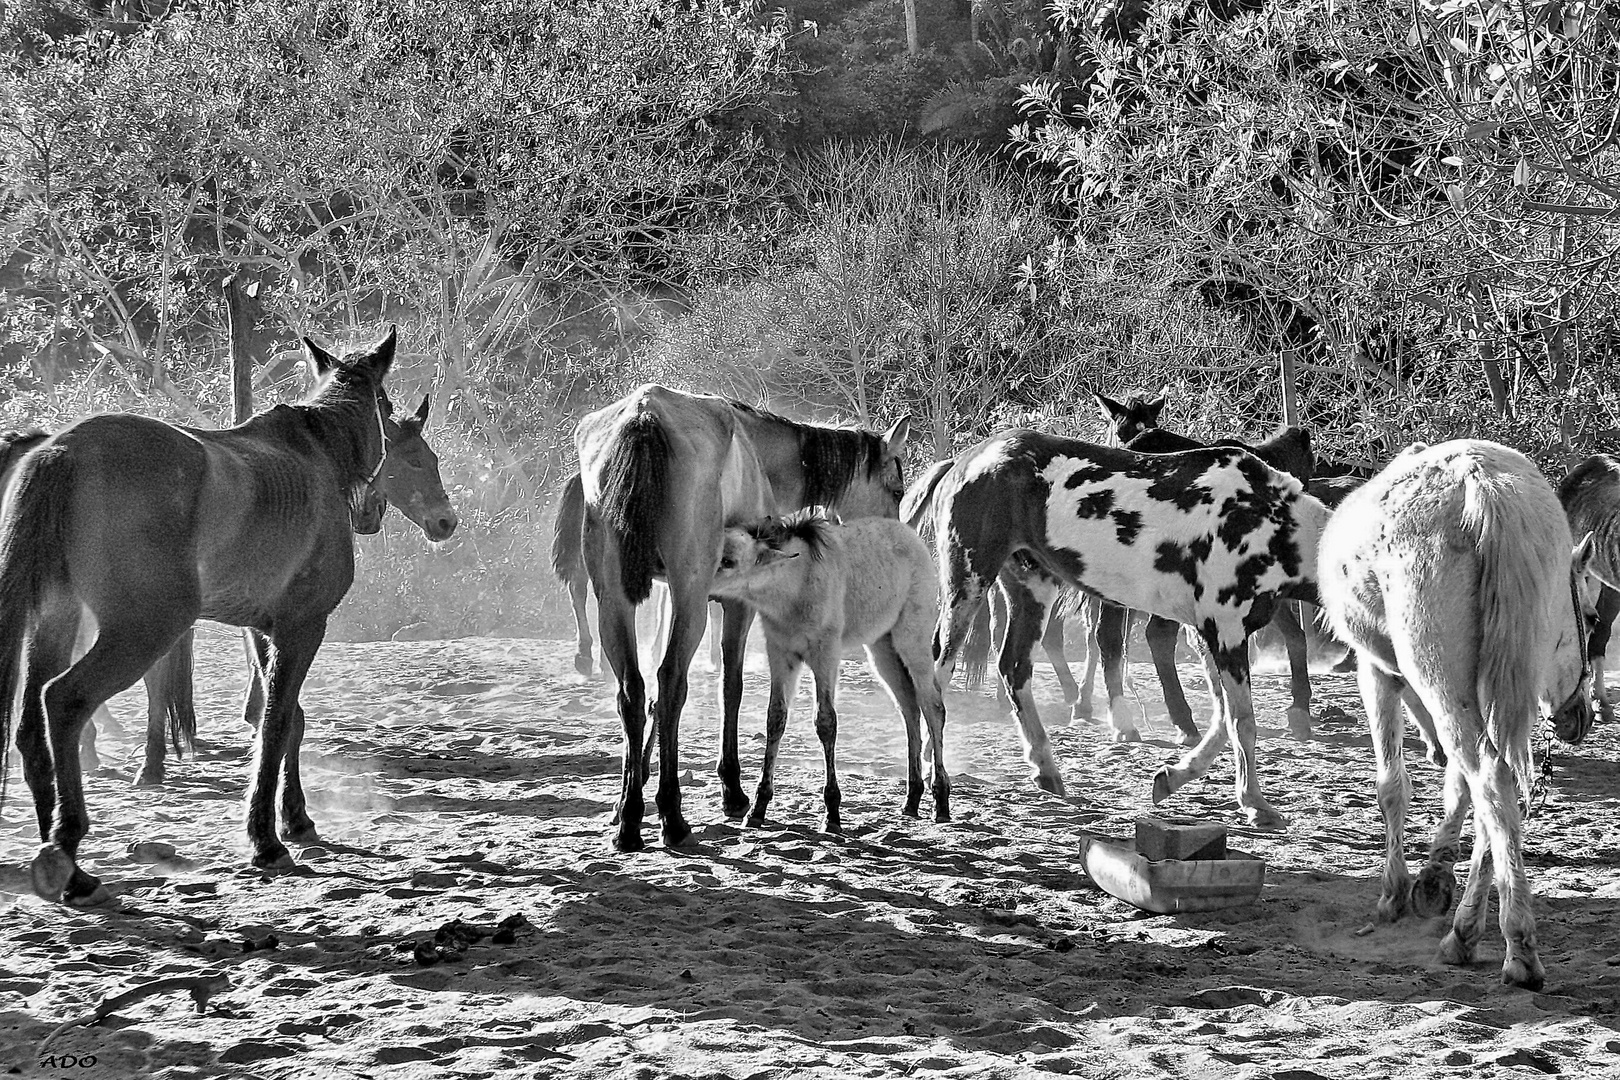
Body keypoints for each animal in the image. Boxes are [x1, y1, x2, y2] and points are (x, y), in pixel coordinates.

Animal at [0, 330, 411, 906]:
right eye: (387, 410)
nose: (372, 512)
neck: (313, 453)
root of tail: (65, 448)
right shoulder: (302, 628)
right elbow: (276, 721)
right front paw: (266, 838)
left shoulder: (264, 631)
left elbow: (287, 720)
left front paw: (296, 818)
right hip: (143, 631)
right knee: (63, 700)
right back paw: (65, 848)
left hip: (56, 621)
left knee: (32, 725)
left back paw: (61, 853)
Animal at [573, 388, 913, 854]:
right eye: (896, 490)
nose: (893, 538)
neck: (759, 450)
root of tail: (645, 417)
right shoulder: (736, 605)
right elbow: (729, 687)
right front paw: (732, 790)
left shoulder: (666, 596)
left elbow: (655, 698)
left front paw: (633, 787)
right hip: (691, 598)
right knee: (673, 681)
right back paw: (672, 815)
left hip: (614, 600)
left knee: (633, 691)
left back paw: (629, 819)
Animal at [709, 511, 946, 835]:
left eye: (728, 561)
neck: (796, 584)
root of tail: (914, 538)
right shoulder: (781, 654)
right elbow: (775, 719)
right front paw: (758, 808)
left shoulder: (826, 655)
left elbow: (826, 722)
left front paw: (832, 813)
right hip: (882, 648)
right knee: (909, 708)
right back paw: (911, 799)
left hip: (913, 642)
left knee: (932, 707)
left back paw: (941, 801)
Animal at [920, 427, 1321, 822]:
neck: (1264, 520)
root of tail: (964, 461)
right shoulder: (1225, 633)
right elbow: (1242, 723)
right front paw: (1255, 802)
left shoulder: (1209, 636)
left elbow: (1223, 719)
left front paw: (1173, 778)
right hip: (968, 585)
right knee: (938, 672)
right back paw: (932, 770)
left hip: (1030, 588)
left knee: (1014, 668)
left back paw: (1046, 769)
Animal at [1321, 440, 1600, 990]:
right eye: (1592, 616)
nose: (1582, 717)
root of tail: (1481, 485)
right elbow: (1459, 790)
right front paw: (1436, 876)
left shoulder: (1375, 671)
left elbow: (1392, 786)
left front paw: (1396, 890)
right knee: (1498, 783)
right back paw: (1469, 931)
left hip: (1437, 680)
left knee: (1488, 777)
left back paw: (1516, 947)